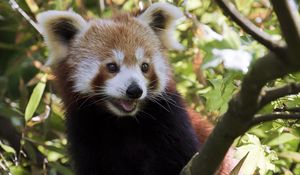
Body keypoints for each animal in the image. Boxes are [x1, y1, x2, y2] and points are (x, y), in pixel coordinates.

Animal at [37, 2, 233, 174]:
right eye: (112, 67)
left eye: (144, 66)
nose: (134, 90)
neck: (125, 123)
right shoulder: (85, 135)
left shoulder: (174, 124)